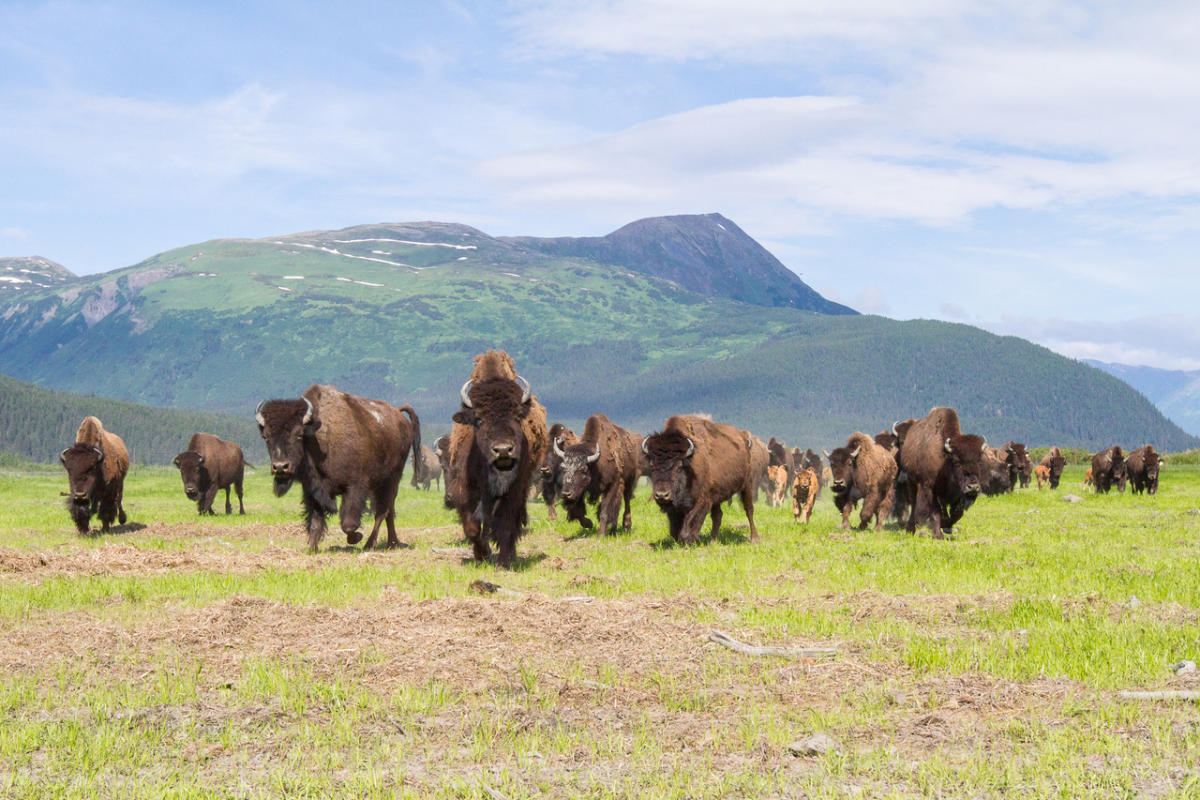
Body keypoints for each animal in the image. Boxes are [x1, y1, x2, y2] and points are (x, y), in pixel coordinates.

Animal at [254, 383, 422, 551]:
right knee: (389, 511)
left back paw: (371, 544)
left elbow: (348, 523)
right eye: (266, 437)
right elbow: (315, 522)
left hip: (392, 478)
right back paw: (392, 543)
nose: (280, 467)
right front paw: (312, 549)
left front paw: (356, 537)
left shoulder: (355, 487)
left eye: (299, 435)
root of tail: (399, 414)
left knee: (382, 511)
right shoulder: (313, 492)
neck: (319, 439)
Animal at [446, 350, 549, 568]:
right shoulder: (464, 486)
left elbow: (506, 525)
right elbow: (472, 527)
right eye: (479, 419)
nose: (503, 450)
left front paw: (503, 561)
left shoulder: (514, 489)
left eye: (517, 416)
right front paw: (482, 554)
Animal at [638, 412, 758, 544]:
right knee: (718, 515)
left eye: (679, 466)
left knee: (749, 509)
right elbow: (674, 529)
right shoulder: (676, 508)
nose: (661, 495)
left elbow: (691, 523)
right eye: (652, 465)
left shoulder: (702, 500)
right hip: (717, 494)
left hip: (747, 484)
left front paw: (691, 540)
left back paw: (754, 538)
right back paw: (713, 541)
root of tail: (744, 439)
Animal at [897, 407, 988, 537]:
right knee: (914, 503)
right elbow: (936, 512)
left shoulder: (956, 493)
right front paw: (938, 535)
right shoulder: (930, 488)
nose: (973, 487)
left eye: (979, 460)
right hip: (912, 481)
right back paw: (911, 529)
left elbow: (957, 512)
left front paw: (946, 526)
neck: (945, 458)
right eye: (956, 461)